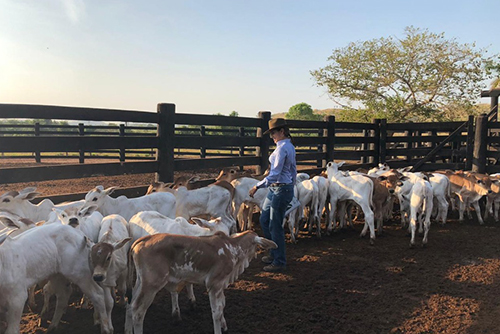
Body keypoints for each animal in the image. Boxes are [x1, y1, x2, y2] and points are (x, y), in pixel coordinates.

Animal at [123, 230, 276, 334]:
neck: (231, 248)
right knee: (138, 312)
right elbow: (216, 312)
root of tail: (141, 240)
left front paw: (224, 326)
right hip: (152, 284)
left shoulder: (221, 285)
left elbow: (222, 305)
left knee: (130, 305)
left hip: (141, 282)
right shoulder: (214, 284)